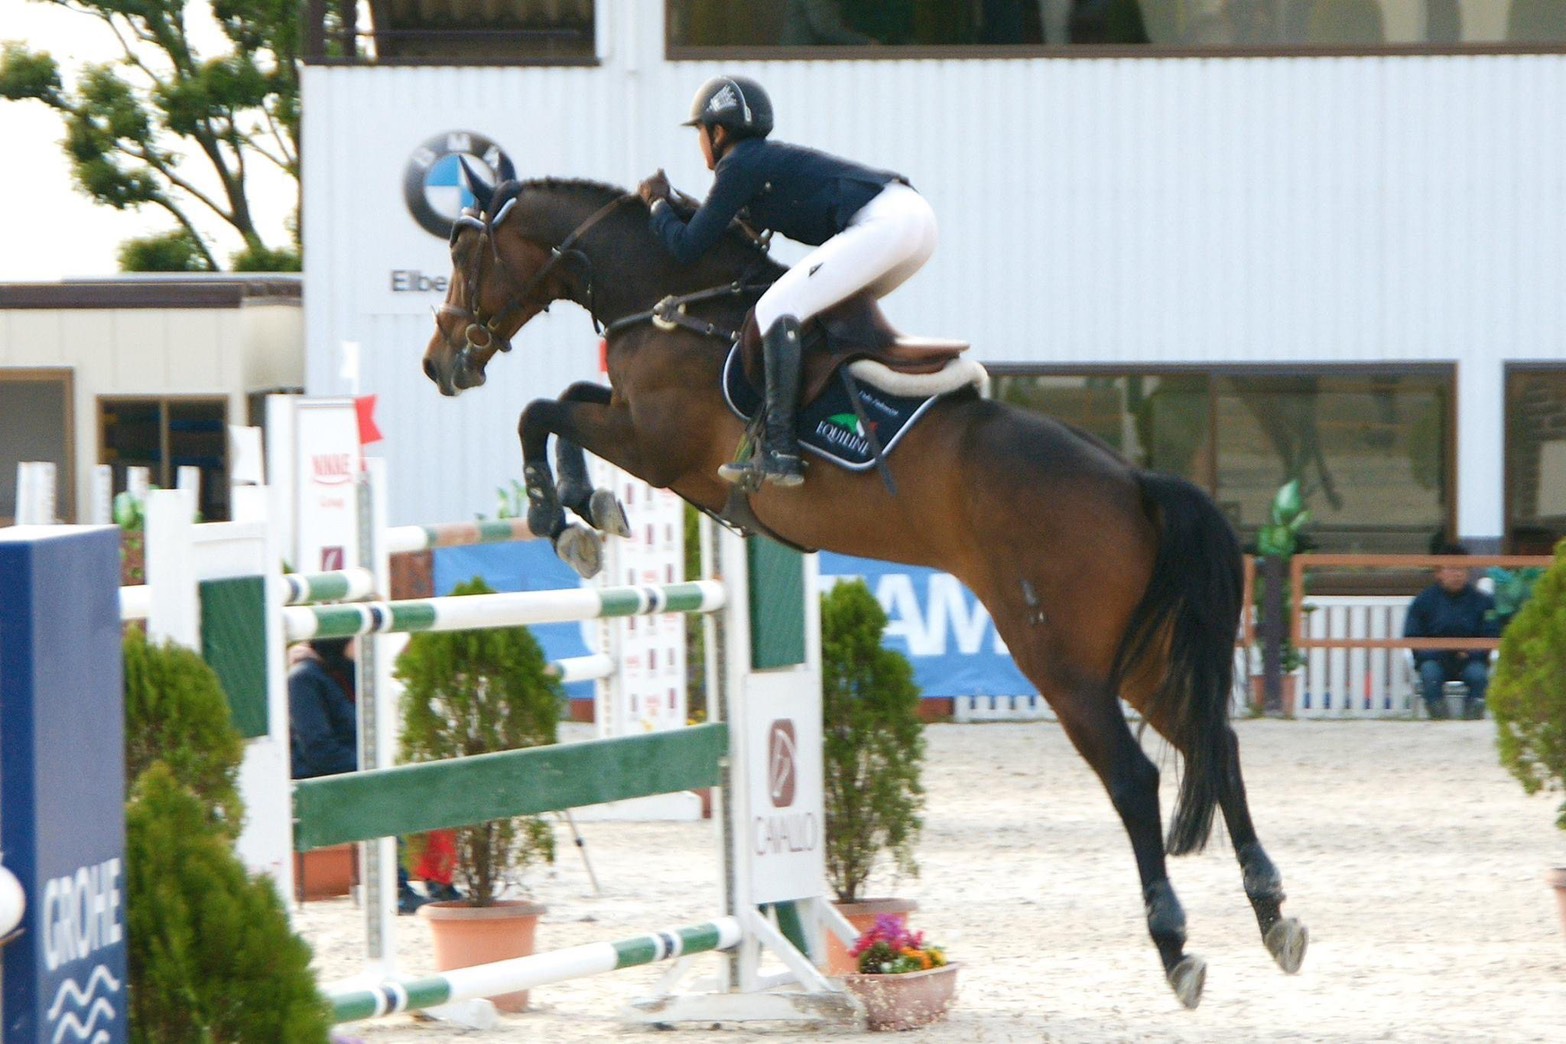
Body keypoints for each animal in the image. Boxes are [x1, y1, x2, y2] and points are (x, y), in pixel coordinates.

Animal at [423, 175, 1308, 1009]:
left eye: (464, 253)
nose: (441, 363)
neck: (673, 304)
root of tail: (1135, 483)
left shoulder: (653, 444)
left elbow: (543, 411)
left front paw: (560, 515)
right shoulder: (636, 428)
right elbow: (567, 402)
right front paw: (588, 511)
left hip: (1062, 664)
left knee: (1136, 779)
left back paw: (1176, 946)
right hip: (1138, 659)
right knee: (1215, 745)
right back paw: (1273, 914)